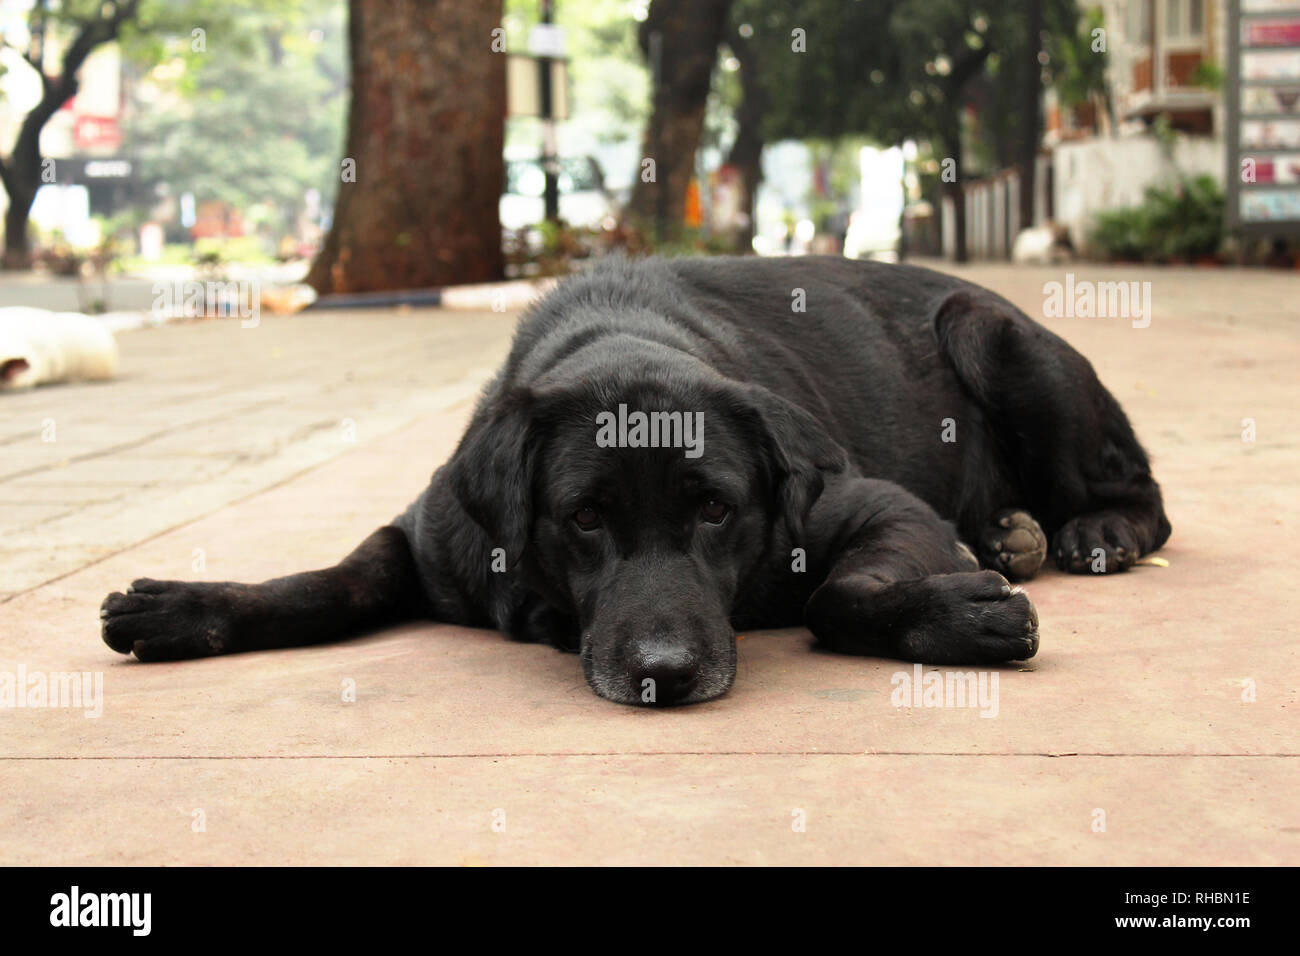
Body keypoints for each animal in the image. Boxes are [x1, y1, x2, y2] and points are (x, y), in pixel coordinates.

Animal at [101, 257, 1175, 707]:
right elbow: (338, 581)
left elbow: (832, 598)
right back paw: (1010, 534)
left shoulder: (877, 506)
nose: (665, 672)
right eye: (582, 516)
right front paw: (187, 608)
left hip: (992, 337)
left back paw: (1093, 534)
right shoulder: (431, 535)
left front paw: (960, 616)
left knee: (1149, 502)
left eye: (717, 510)